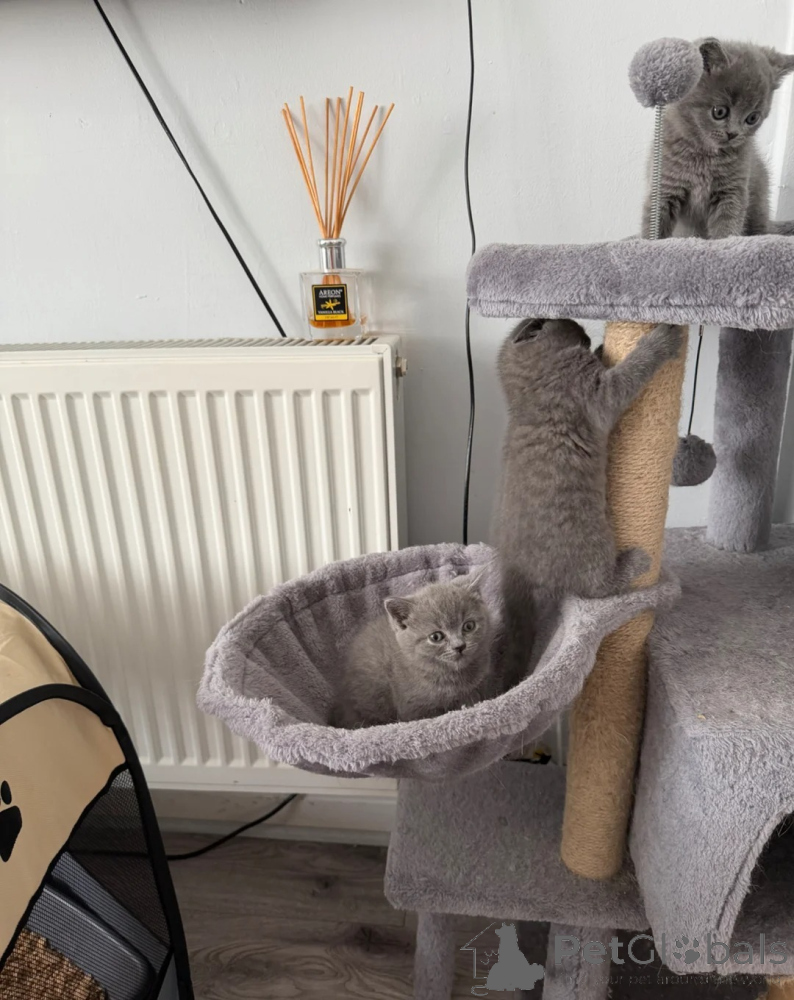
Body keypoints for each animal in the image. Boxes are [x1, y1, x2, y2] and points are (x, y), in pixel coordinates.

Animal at [492, 318, 683, 605]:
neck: (529, 386)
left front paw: (602, 350)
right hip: (592, 541)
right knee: (597, 587)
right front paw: (659, 341)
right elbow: (631, 372)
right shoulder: (592, 392)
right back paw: (637, 561)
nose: (588, 335)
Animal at [642, 39, 794, 239]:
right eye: (720, 112)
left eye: (752, 118)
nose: (733, 133)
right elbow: (654, 222)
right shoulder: (665, 185)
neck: (704, 156)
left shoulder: (732, 191)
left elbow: (727, 225)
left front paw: (727, 242)